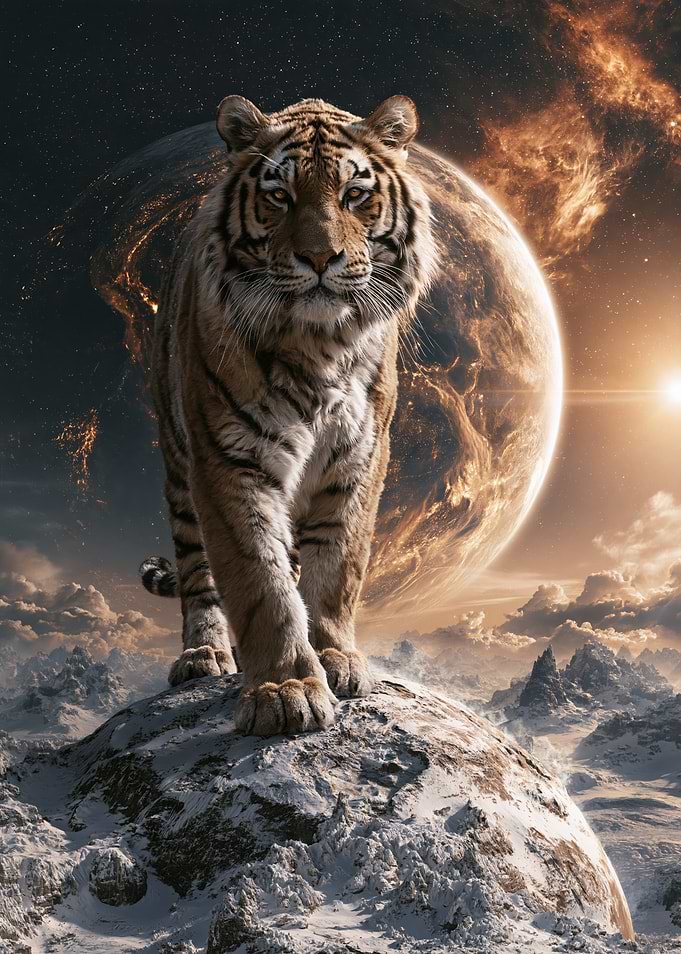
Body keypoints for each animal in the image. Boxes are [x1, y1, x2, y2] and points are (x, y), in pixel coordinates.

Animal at [139, 94, 438, 736]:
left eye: (355, 194)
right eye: (280, 195)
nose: (320, 257)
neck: (318, 344)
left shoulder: (359, 458)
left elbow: (336, 566)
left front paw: (333, 657)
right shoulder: (229, 459)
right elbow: (260, 581)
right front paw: (285, 690)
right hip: (177, 464)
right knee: (197, 572)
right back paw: (204, 654)